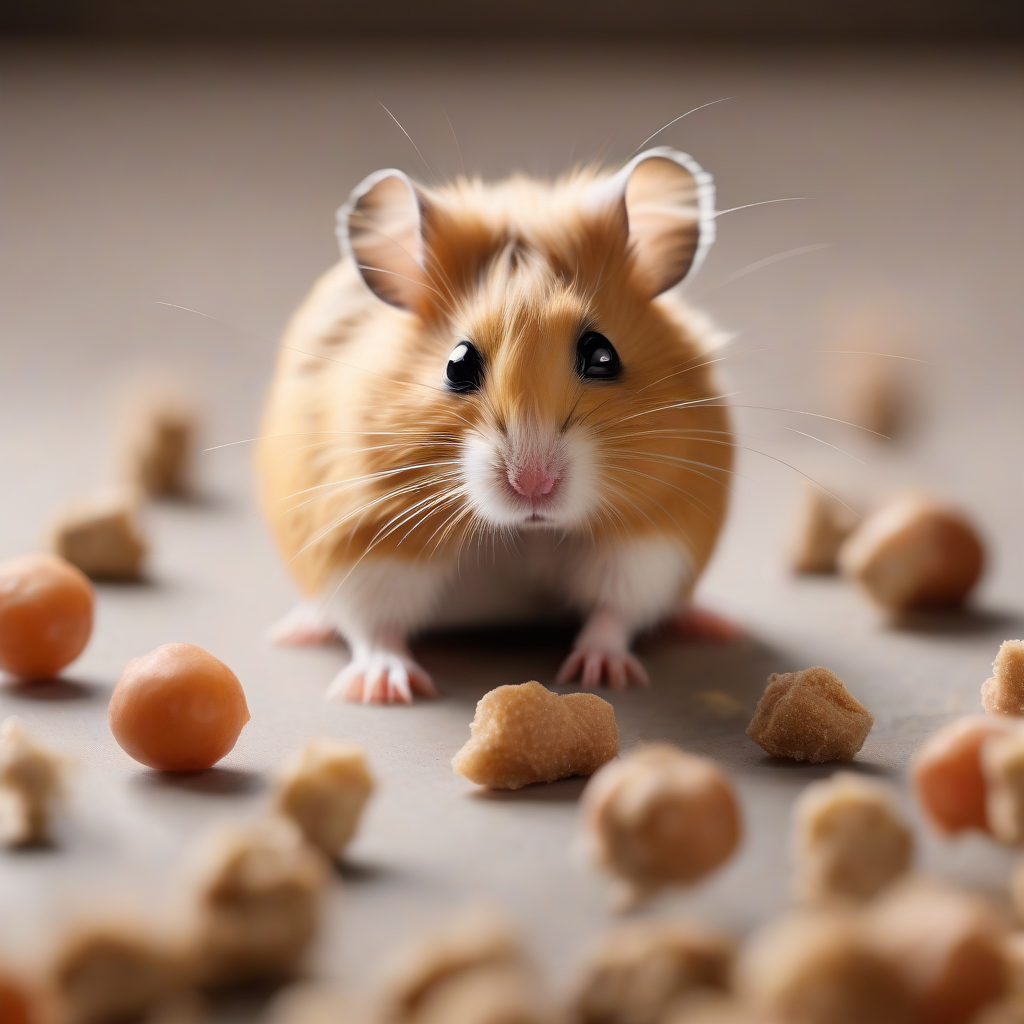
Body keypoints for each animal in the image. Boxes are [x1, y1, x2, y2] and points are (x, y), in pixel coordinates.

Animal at [257, 147, 733, 703]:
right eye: (457, 364)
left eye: (603, 355)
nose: (533, 485)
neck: (524, 534)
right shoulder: (359, 545)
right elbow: (374, 625)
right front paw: (388, 688)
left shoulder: (651, 540)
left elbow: (616, 611)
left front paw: (600, 673)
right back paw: (296, 631)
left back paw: (712, 623)